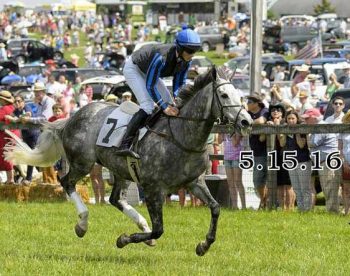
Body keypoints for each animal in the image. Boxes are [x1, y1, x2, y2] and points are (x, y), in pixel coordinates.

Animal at [4, 66, 252, 256]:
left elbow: (216, 208)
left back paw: (140, 223)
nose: (247, 121)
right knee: (67, 182)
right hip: (83, 162)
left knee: (114, 199)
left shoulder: (194, 182)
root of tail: (74, 115)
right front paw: (123, 239)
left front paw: (203, 245)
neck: (182, 136)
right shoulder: (153, 189)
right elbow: (159, 229)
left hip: (120, 169)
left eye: (239, 95)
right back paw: (82, 223)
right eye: (224, 95)